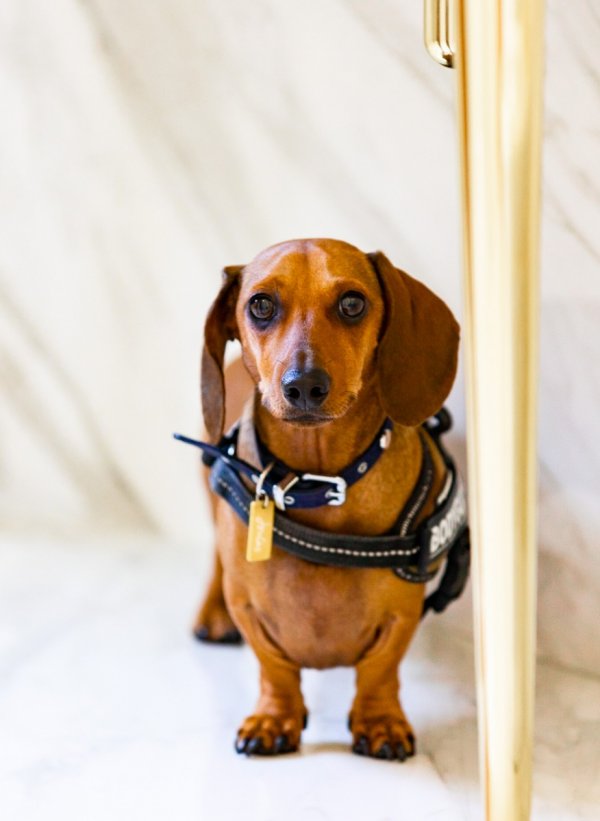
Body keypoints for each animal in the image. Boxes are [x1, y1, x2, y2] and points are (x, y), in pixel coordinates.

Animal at [192, 239, 460, 764]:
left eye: (353, 303)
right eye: (260, 305)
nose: (304, 386)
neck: (320, 478)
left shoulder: (402, 610)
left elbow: (380, 668)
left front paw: (380, 722)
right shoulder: (249, 607)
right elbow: (274, 666)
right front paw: (274, 718)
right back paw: (212, 615)